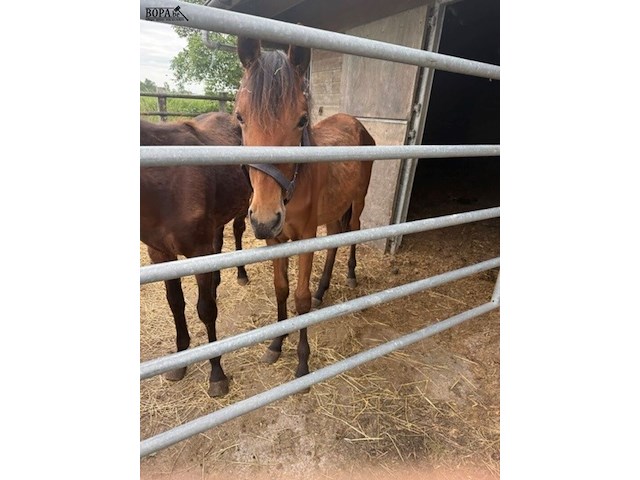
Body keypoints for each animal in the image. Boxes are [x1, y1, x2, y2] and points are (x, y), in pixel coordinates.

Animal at [140, 111, 252, 397]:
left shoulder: (197, 252)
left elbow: (206, 310)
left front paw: (217, 373)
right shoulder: (161, 254)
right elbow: (175, 304)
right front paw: (180, 362)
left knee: (236, 233)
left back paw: (240, 275)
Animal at [234, 37, 375, 381]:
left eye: (300, 120)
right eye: (240, 117)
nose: (264, 219)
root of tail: (355, 123)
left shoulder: (305, 238)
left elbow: (300, 300)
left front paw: (302, 362)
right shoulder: (276, 240)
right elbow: (281, 290)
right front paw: (275, 344)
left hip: (358, 201)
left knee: (353, 231)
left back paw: (350, 275)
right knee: (336, 238)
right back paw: (323, 290)